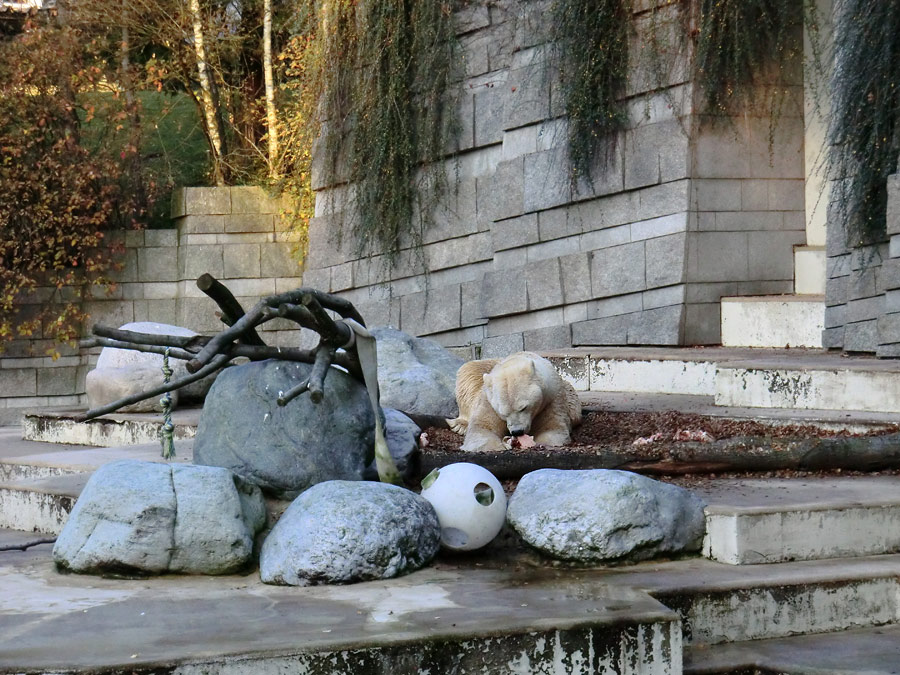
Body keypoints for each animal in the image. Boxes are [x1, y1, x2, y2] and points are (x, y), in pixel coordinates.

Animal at [450, 354, 584, 454]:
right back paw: (460, 425)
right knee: (468, 372)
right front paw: (501, 445)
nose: (517, 432)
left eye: (523, 408)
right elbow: (482, 428)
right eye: (503, 413)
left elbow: (552, 427)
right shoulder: (488, 400)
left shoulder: (551, 398)